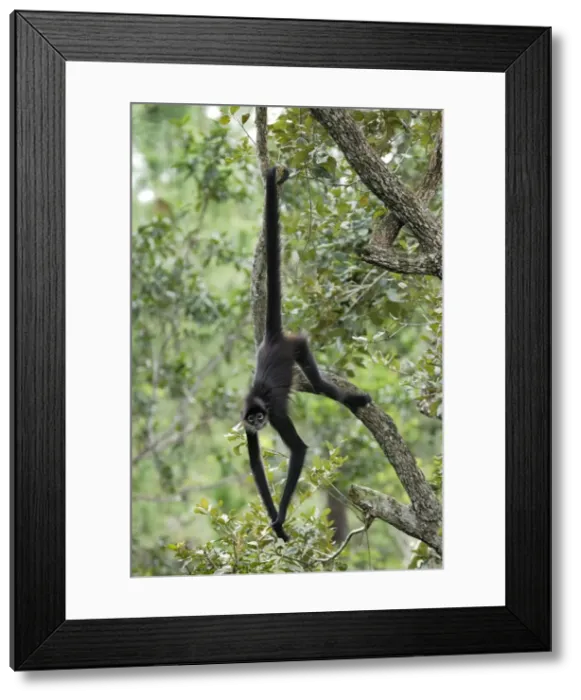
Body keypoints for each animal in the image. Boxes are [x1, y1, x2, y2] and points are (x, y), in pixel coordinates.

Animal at [241, 164, 372, 542]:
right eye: (253, 419)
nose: (258, 422)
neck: (258, 402)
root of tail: (272, 339)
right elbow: (256, 465)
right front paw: (277, 524)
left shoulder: (275, 412)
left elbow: (298, 450)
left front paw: (281, 517)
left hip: (298, 346)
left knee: (322, 384)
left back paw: (349, 398)